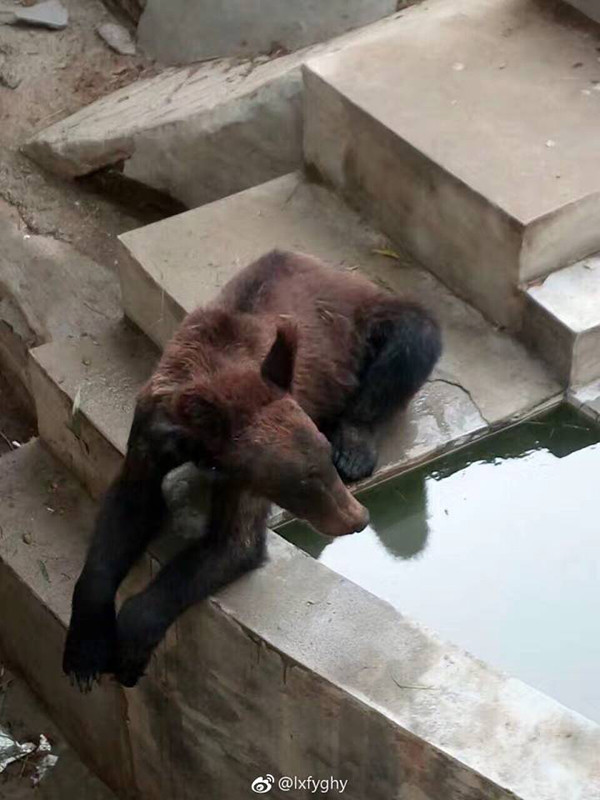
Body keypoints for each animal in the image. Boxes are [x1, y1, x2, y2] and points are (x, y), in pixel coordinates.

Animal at [63, 250, 440, 688]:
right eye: (303, 479)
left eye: (321, 458)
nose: (357, 517)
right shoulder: (151, 434)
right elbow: (128, 509)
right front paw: (85, 651)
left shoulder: (240, 473)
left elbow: (232, 544)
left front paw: (128, 647)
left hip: (368, 319)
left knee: (413, 339)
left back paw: (355, 447)